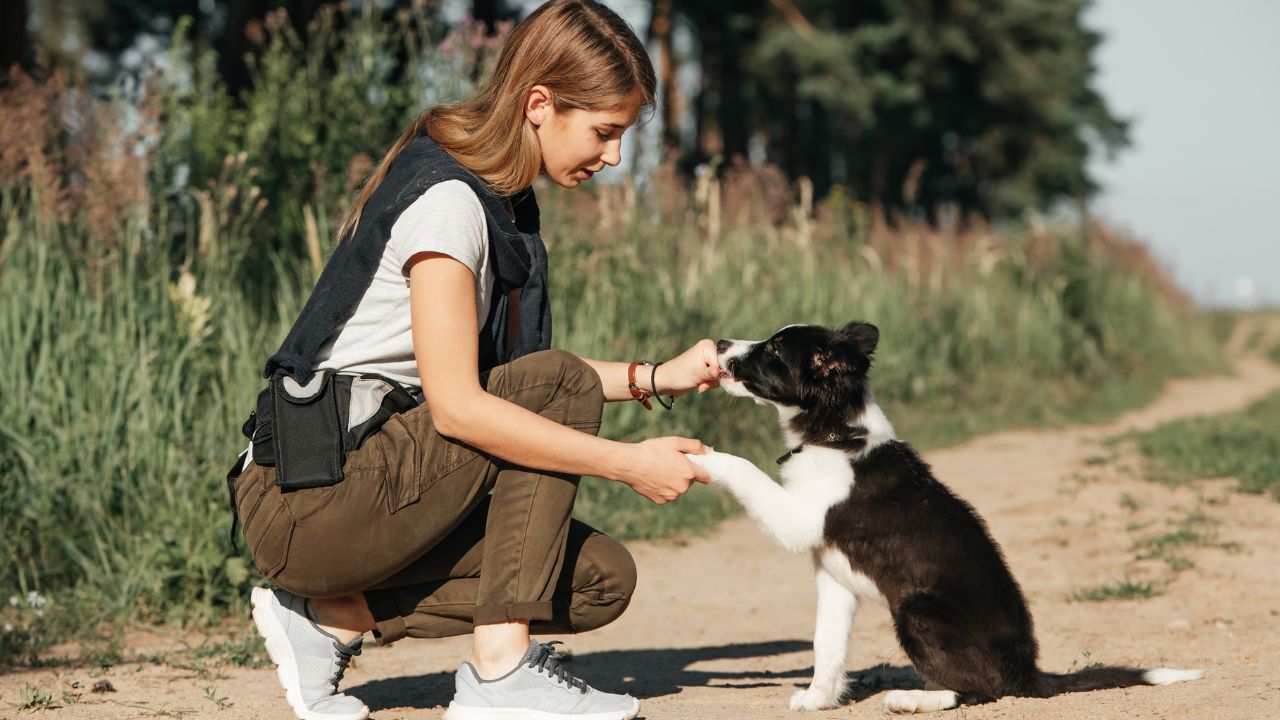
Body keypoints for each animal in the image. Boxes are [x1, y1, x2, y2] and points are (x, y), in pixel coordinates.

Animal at [686, 322, 1203, 707]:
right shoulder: (832, 576)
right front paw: (818, 699)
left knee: (979, 691)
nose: (719, 344)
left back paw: (911, 699)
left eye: (774, 349)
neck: (834, 435)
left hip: (917, 611)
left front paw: (698, 457)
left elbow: (745, 469)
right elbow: (826, 644)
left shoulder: (798, 521)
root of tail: (1028, 673)